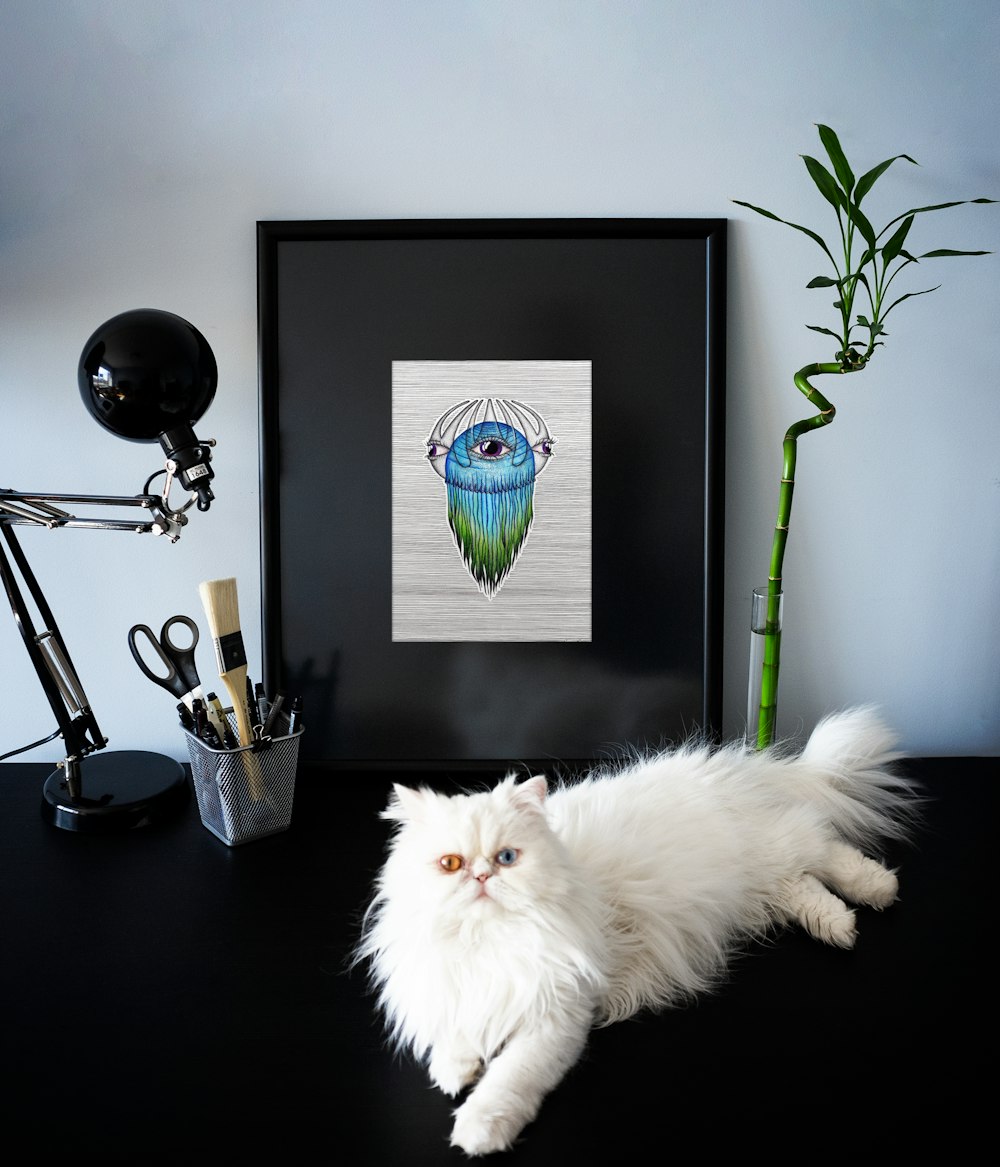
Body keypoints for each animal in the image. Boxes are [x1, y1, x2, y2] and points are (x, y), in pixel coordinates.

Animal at [354, 704, 914, 1152]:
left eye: (507, 857)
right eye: (450, 863)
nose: (481, 876)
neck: (489, 943)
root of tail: (738, 767)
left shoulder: (557, 1015)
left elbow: (508, 1080)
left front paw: (479, 1130)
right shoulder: (457, 988)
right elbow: (455, 1032)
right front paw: (454, 1071)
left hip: (773, 849)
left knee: (828, 848)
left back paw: (878, 889)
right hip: (761, 887)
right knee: (806, 888)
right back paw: (840, 928)